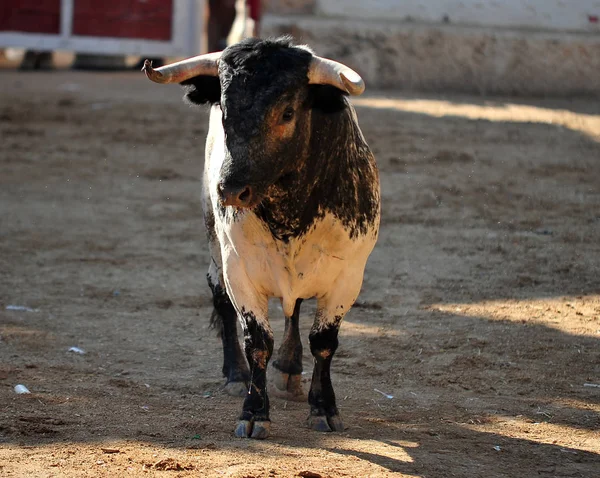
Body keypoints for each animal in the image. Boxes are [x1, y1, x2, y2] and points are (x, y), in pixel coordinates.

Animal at [142, 37, 380, 438]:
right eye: (224, 110)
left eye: (288, 112)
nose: (231, 190)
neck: (290, 211)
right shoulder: (240, 271)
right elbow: (257, 341)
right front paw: (254, 412)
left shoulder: (348, 277)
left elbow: (323, 342)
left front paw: (323, 408)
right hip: (214, 241)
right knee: (219, 295)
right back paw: (237, 374)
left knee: (294, 309)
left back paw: (290, 367)